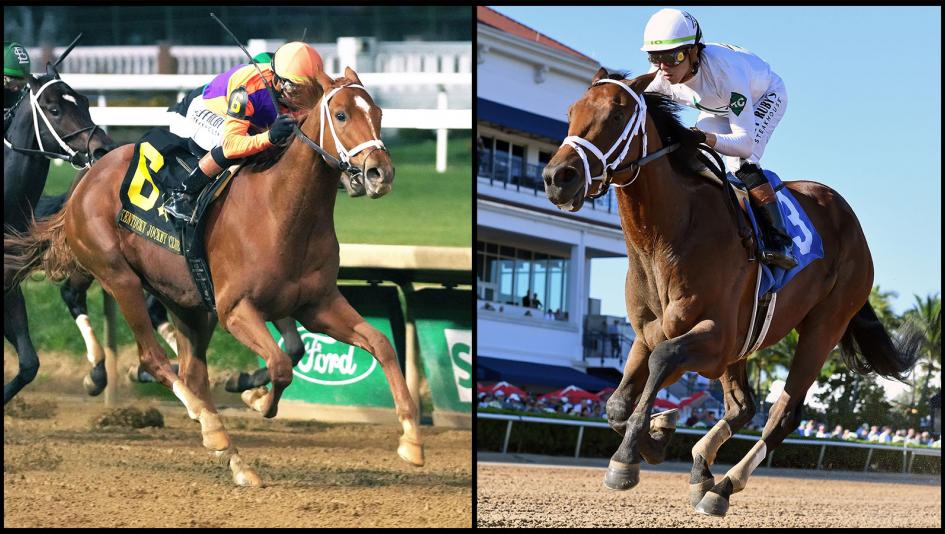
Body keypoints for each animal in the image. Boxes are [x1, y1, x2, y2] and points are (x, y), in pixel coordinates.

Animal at [541, 67, 921, 517]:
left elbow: (662, 361)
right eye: (572, 111)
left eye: (616, 116)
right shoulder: (649, 333)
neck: (668, 237)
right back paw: (701, 470)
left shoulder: (715, 337)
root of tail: (851, 222)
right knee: (744, 405)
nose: (557, 178)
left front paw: (628, 458)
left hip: (824, 325)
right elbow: (618, 402)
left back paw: (722, 487)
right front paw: (659, 433)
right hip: (747, 340)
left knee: (782, 414)